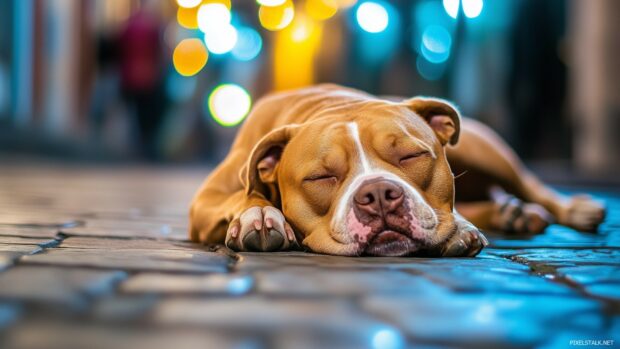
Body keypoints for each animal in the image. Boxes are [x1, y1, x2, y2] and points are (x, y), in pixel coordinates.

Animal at [189, 84, 604, 256]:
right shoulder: (205, 199)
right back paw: (510, 214)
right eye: (321, 178)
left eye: (410, 156)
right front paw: (260, 214)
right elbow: (245, 195)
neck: (332, 105)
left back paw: (574, 208)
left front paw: (458, 229)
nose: (377, 194)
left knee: (530, 184)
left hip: (486, 148)